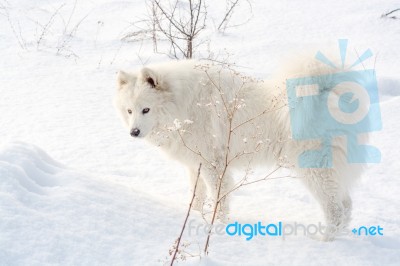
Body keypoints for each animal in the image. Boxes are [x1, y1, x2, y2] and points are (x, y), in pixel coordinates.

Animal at [113, 58, 368, 241]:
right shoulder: (195, 165)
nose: (134, 132)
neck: (184, 104)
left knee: (335, 209)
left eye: (146, 109)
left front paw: (217, 227)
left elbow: (219, 199)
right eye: (129, 111)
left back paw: (324, 241)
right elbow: (197, 196)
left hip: (314, 171)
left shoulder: (213, 165)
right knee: (347, 205)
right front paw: (194, 216)